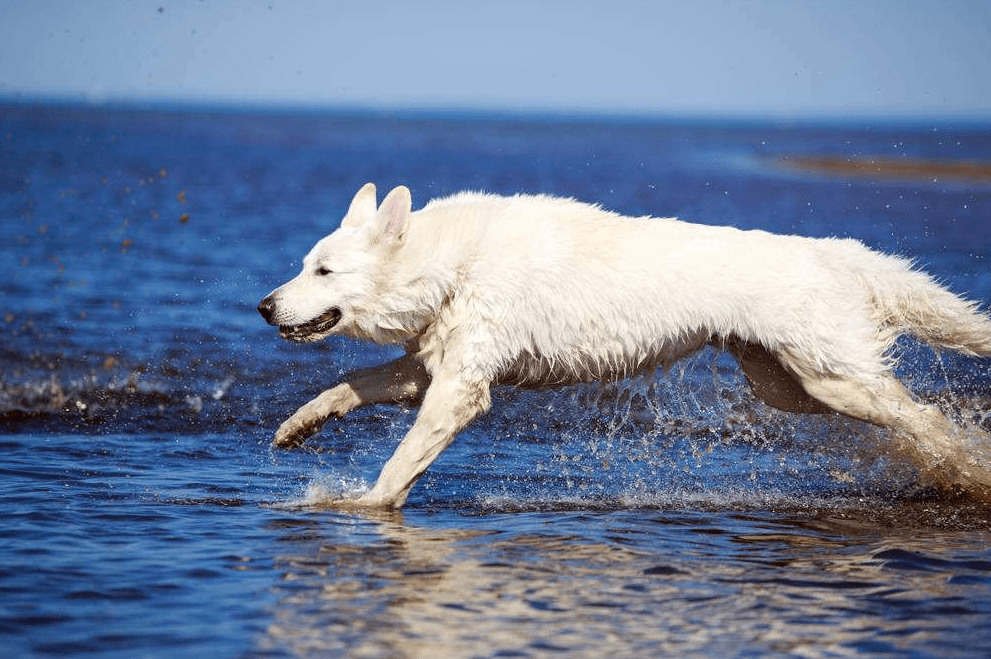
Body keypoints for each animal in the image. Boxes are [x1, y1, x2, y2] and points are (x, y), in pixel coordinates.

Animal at [260, 183, 991, 508]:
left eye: (324, 271)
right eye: (305, 265)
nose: (264, 306)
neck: (452, 263)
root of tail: (834, 250)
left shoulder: (462, 390)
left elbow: (402, 460)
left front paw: (363, 505)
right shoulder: (433, 365)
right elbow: (353, 386)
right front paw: (298, 426)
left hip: (830, 379)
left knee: (924, 415)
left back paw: (968, 468)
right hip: (789, 388)